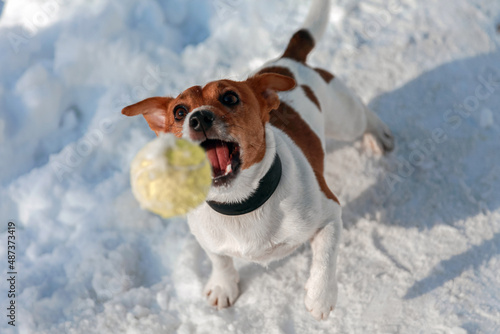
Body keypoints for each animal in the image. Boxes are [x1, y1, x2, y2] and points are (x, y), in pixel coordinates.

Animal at [122, 0, 394, 320]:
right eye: (179, 112)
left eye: (229, 97)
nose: (198, 118)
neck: (240, 205)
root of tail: (287, 60)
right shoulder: (207, 238)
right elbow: (220, 260)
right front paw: (223, 286)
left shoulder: (329, 214)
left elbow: (325, 257)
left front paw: (320, 297)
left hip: (344, 118)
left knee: (363, 114)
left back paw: (378, 134)